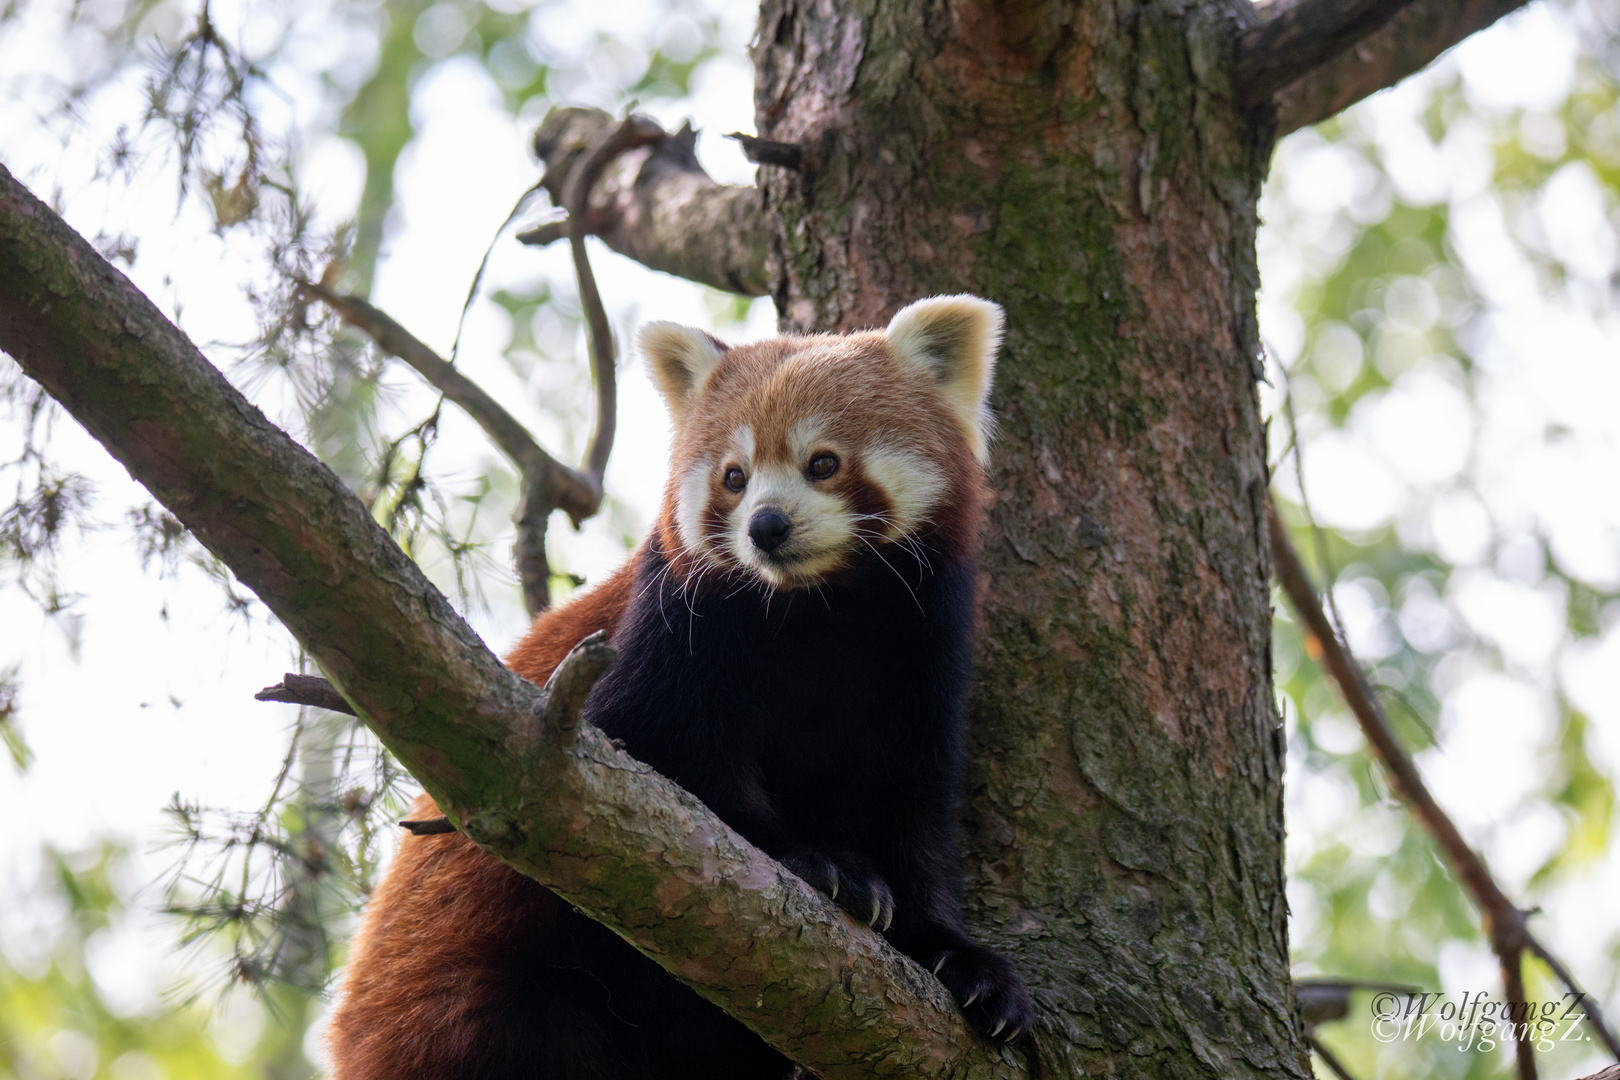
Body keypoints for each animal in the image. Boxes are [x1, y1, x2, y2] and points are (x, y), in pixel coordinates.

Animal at [327, 297, 1030, 1080]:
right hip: (471, 1007)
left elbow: (913, 815)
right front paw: (823, 864)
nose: (766, 526)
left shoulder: (920, 663)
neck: (815, 612)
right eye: (734, 476)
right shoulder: (667, 641)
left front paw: (961, 961)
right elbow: (675, 775)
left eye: (823, 463)